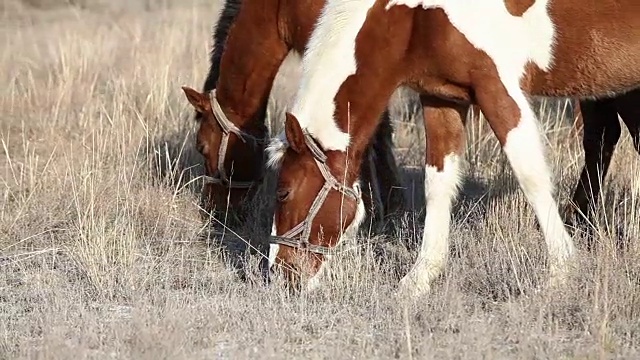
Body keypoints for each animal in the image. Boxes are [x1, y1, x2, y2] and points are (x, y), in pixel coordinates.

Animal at [268, 0, 640, 294]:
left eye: (284, 192)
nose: (280, 276)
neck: (413, 16)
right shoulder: (442, 97)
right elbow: (438, 183)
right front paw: (418, 279)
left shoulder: (497, 87)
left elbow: (531, 177)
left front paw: (560, 272)